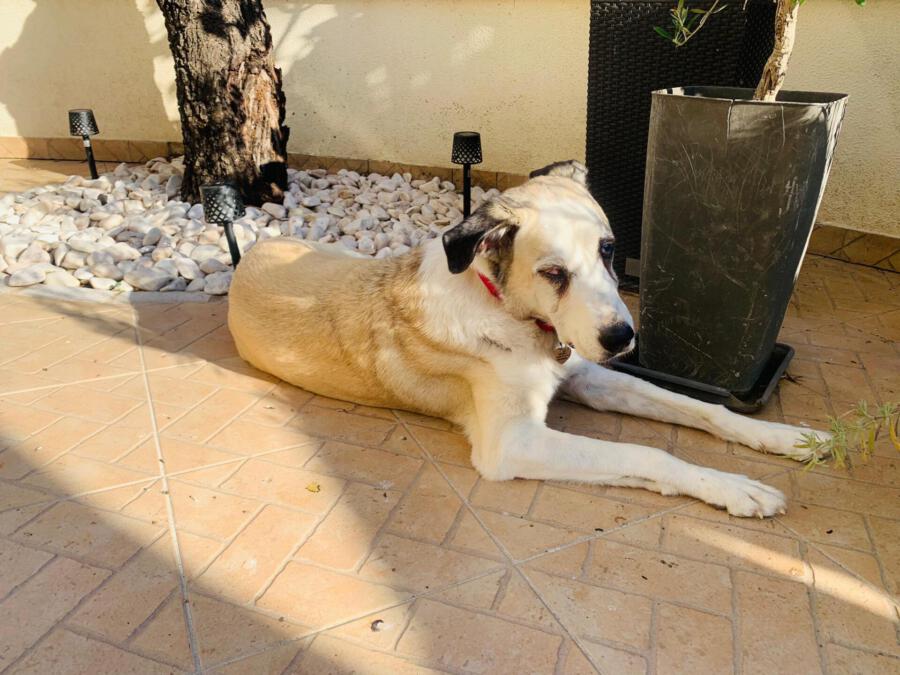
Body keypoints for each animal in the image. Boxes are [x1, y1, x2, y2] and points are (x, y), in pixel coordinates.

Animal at [228, 160, 828, 518]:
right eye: (554, 273)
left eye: (609, 249)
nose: (622, 338)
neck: (511, 314)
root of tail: (252, 250)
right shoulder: (512, 443)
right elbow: (649, 454)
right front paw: (736, 488)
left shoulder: (588, 374)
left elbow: (701, 408)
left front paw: (789, 438)